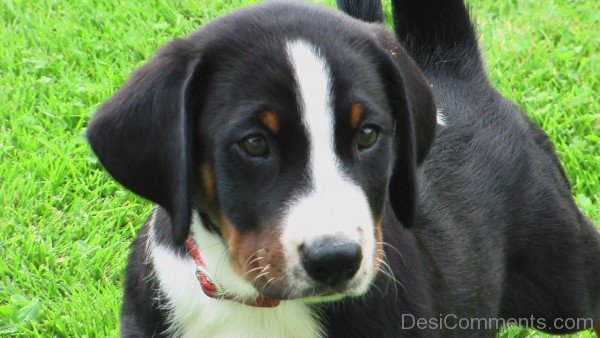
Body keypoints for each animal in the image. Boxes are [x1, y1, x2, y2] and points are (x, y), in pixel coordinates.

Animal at [88, 0, 600, 336]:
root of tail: (452, 72)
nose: (335, 259)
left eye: (369, 135)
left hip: (567, 284)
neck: (259, 307)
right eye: (254, 143)